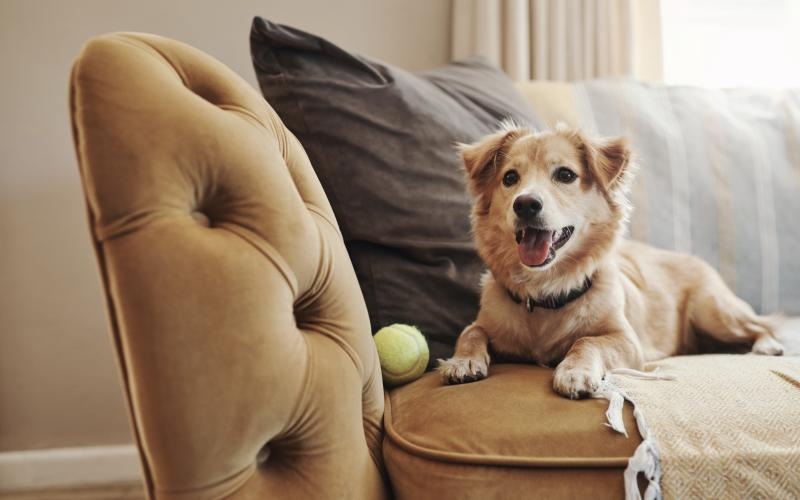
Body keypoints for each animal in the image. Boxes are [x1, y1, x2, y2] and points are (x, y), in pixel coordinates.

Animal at [434, 122, 784, 398]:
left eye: (565, 174)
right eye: (510, 178)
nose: (526, 204)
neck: (546, 291)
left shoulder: (627, 342)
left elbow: (588, 341)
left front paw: (574, 372)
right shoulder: (485, 324)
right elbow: (471, 332)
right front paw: (462, 361)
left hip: (713, 310)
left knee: (760, 325)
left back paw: (766, 345)